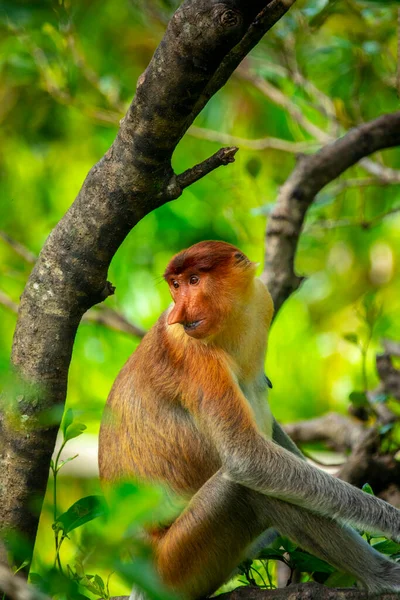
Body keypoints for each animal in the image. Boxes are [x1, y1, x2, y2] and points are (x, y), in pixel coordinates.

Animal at [98, 241, 400, 596]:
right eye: (176, 285)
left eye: (193, 280)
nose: (178, 314)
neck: (232, 319)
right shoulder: (193, 354)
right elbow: (246, 457)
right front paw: (392, 520)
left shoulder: (261, 300)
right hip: (174, 566)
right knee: (245, 489)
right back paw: (384, 577)